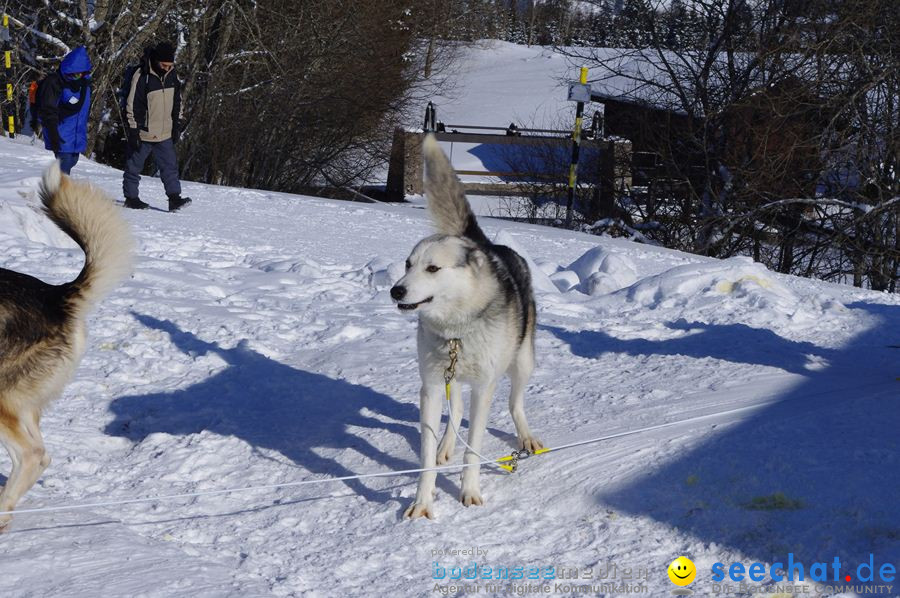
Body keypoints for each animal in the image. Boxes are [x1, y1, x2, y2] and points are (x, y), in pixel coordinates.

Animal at [388, 136, 540, 520]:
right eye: (408, 264)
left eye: (432, 269)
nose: (396, 290)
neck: (457, 327)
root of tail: (485, 245)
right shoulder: (430, 387)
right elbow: (427, 455)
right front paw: (422, 501)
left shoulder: (483, 387)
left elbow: (474, 449)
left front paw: (469, 491)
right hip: (450, 376)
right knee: (454, 411)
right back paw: (446, 446)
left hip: (522, 362)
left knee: (515, 403)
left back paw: (526, 437)